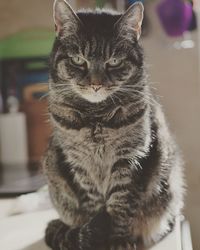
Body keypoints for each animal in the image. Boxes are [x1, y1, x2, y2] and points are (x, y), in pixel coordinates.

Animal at [43, 0, 184, 249]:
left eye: (114, 62)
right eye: (78, 60)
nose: (96, 84)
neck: (96, 119)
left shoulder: (130, 159)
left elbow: (120, 206)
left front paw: (119, 240)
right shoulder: (80, 165)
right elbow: (94, 206)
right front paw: (94, 237)